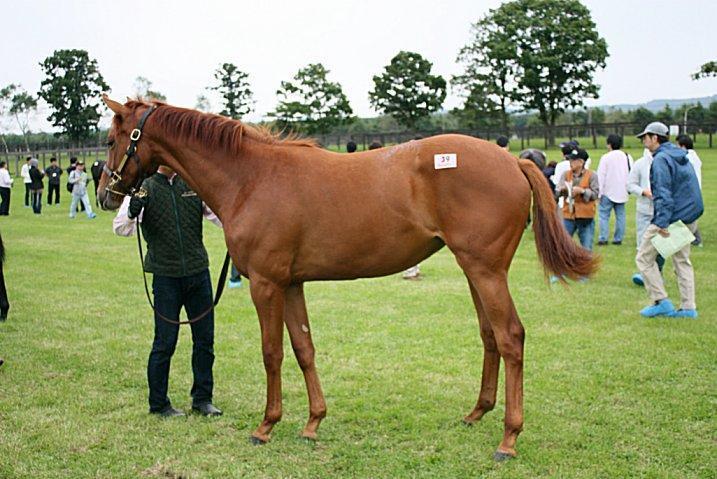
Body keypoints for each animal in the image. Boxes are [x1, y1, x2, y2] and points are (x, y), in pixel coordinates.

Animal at [98, 95, 596, 460]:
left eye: (110, 138)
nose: (106, 195)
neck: (251, 177)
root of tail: (513, 162)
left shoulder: (265, 284)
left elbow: (272, 353)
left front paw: (266, 426)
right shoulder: (290, 284)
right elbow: (303, 349)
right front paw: (312, 422)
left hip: (486, 270)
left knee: (510, 337)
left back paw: (508, 438)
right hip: (474, 269)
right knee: (490, 336)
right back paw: (477, 414)